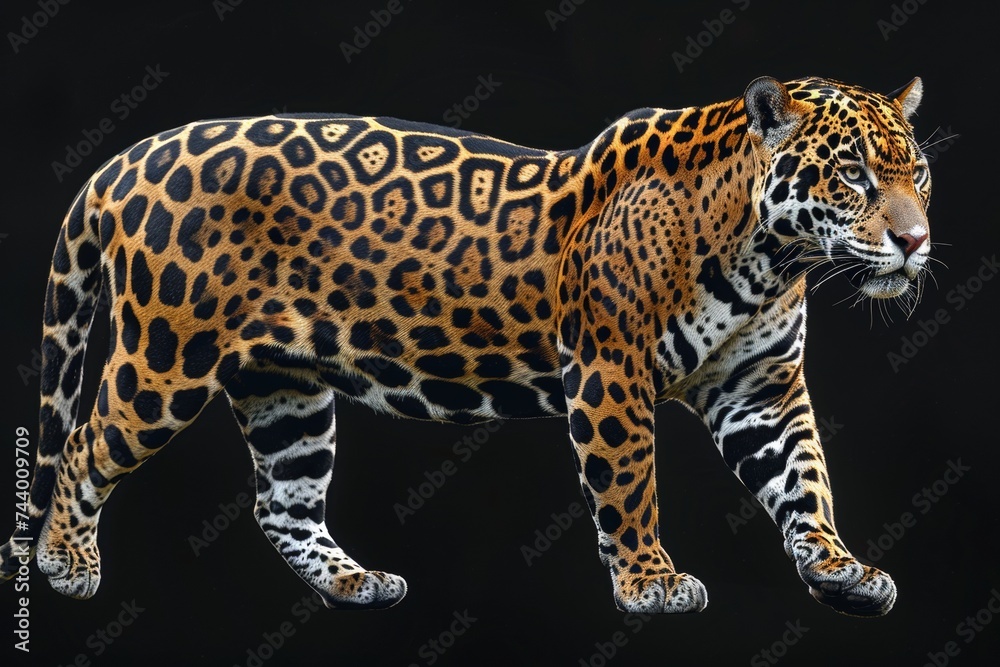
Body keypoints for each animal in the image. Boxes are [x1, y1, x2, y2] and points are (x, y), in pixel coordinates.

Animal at [0, 75, 932, 616]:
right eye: (852, 174)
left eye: (916, 172)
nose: (916, 241)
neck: (771, 254)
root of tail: (130, 156)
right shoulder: (610, 372)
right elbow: (630, 483)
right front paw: (651, 581)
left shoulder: (759, 386)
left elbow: (804, 477)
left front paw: (842, 569)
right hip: (164, 360)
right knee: (83, 445)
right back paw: (65, 562)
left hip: (284, 386)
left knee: (282, 503)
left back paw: (356, 584)